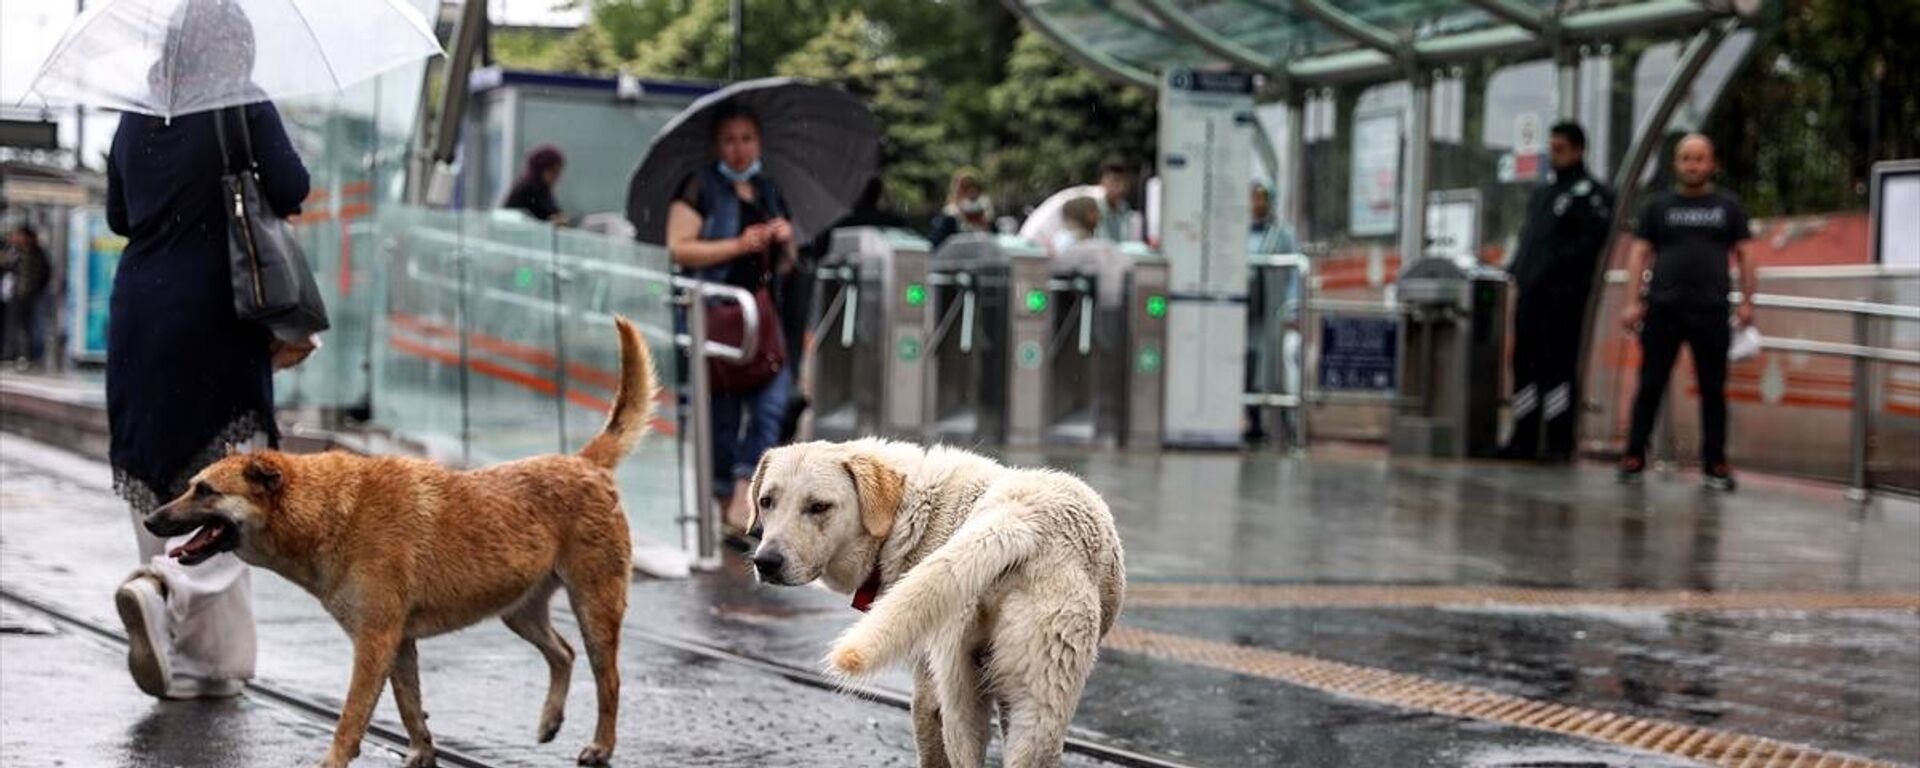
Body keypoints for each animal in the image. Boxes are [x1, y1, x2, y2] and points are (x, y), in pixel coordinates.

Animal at [144, 314, 660, 764]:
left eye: (205, 491)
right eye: (191, 484)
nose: (151, 519)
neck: (328, 511)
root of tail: (585, 463)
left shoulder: (375, 643)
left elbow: (352, 717)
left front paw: (335, 760)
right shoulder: (399, 644)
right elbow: (410, 709)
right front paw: (421, 754)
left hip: (594, 608)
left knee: (608, 679)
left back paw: (601, 746)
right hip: (520, 611)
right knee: (563, 654)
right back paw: (551, 721)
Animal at [737, 437, 1121, 768]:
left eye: (818, 507)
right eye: (766, 502)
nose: (766, 562)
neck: (907, 515)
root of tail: (1024, 517)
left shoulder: (925, 688)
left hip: (953, 696)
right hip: (1035, 704)